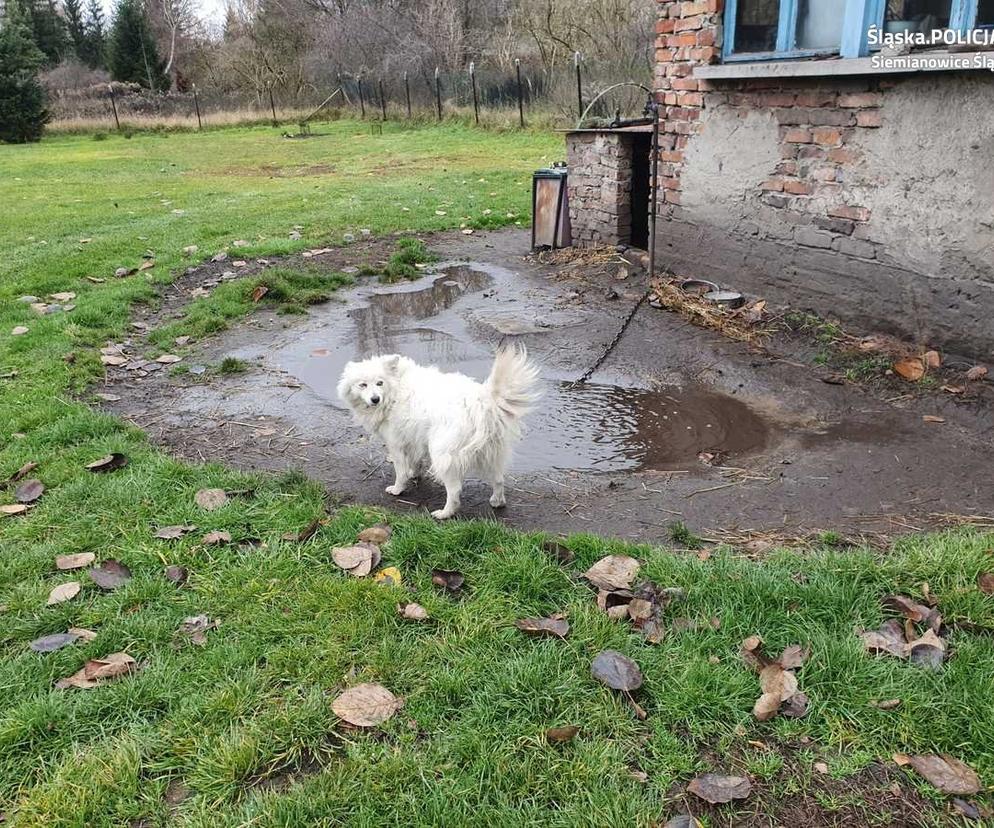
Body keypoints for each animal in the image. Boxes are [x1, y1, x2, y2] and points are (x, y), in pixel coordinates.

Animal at [338, 344, 540, 516]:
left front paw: (397, 489)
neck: (395, 388)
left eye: (379, 383)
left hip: (442, 452)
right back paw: (497, 502)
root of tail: (482, 401)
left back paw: (445, 513)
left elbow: (400, 471)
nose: (375, 399)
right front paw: (414, 474)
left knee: (455, 490)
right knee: (498, 479)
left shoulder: (396, 444)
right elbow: (415, 461)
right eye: (363, 384)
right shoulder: (414, 439)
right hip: (489, 453)